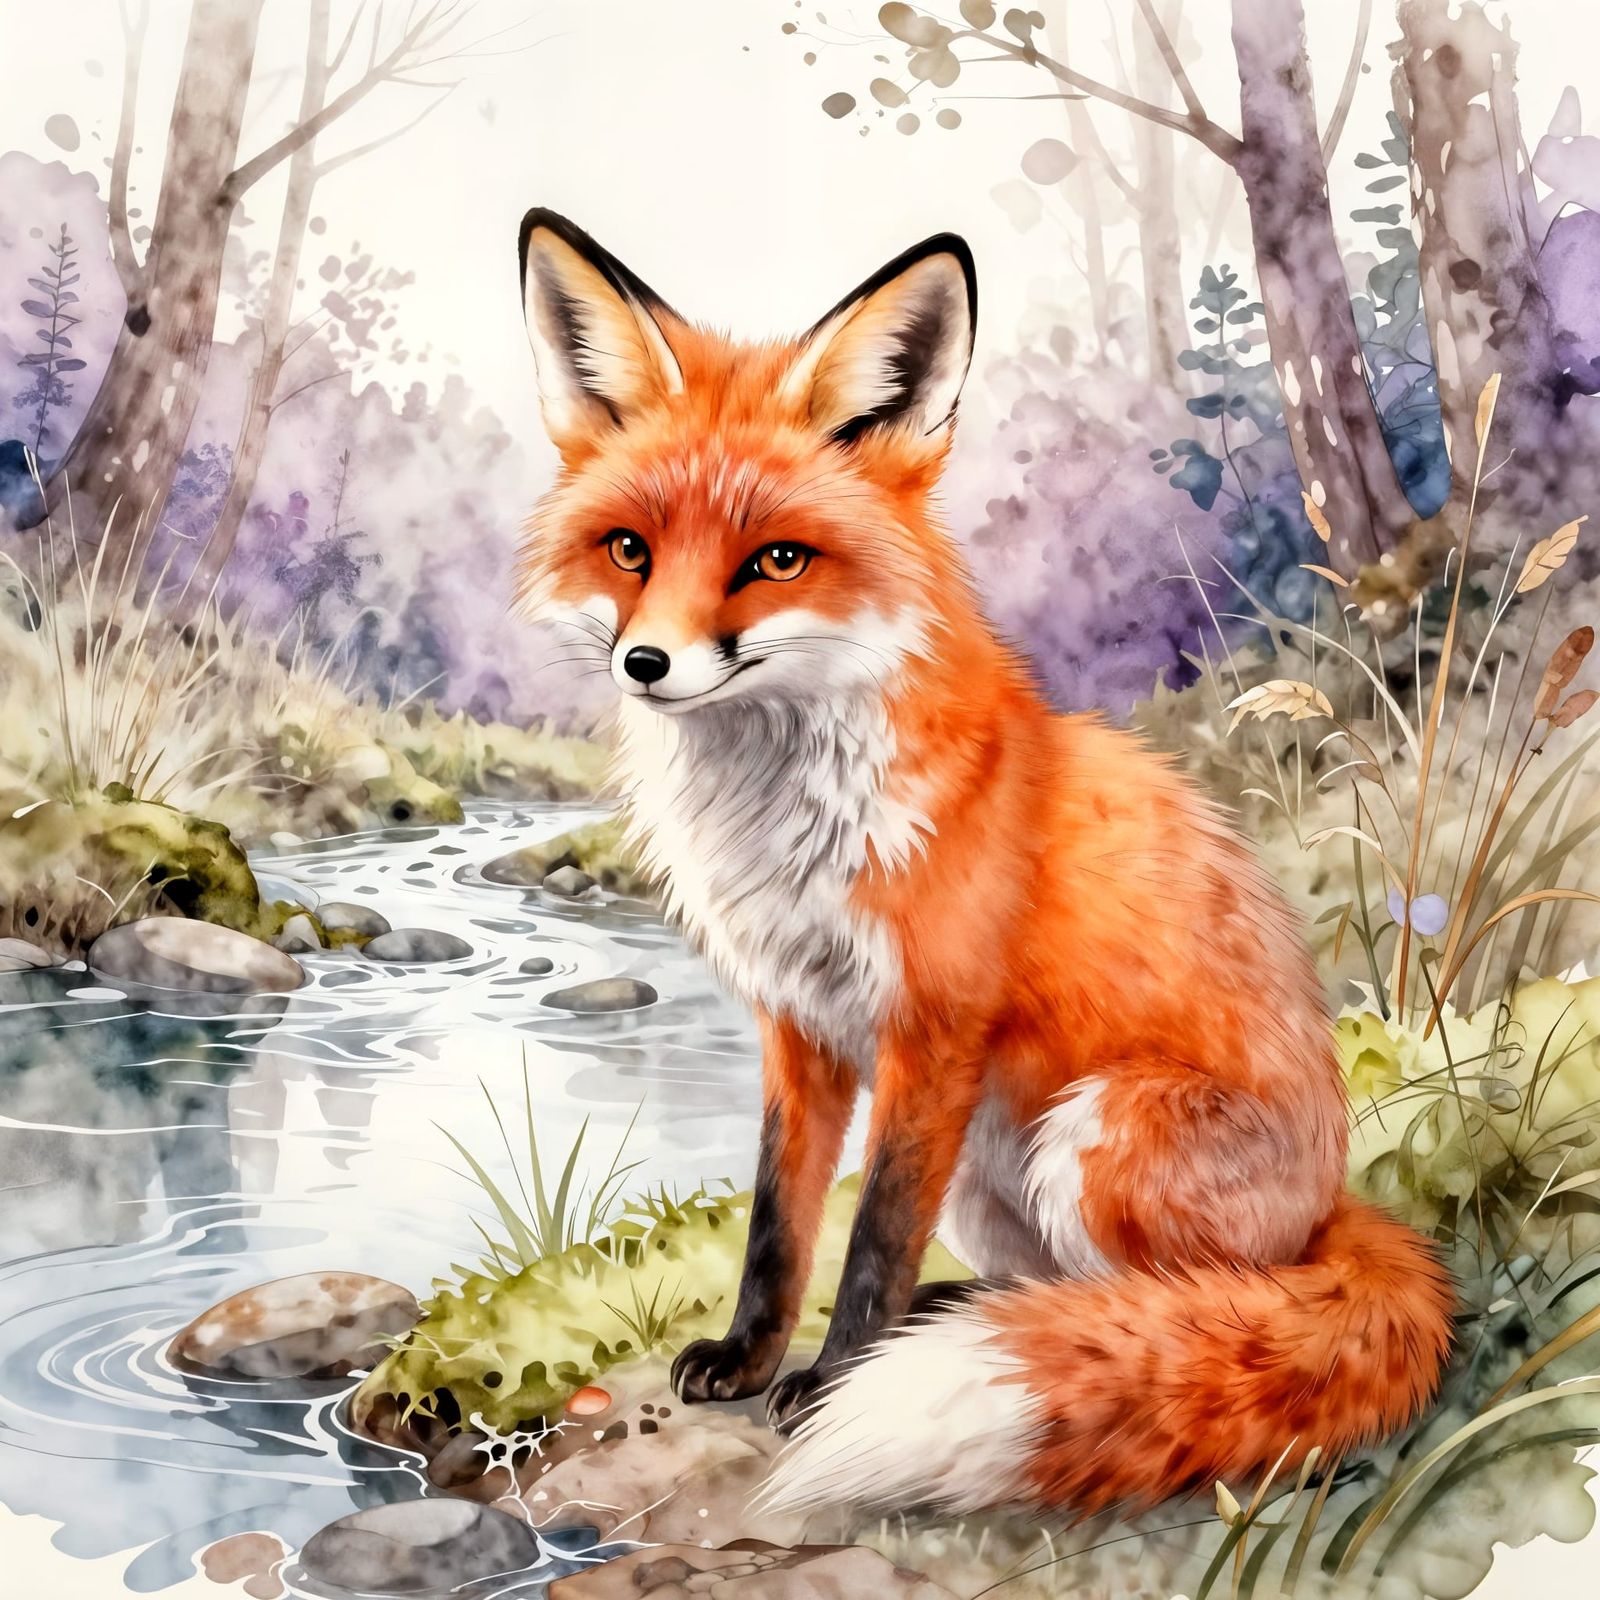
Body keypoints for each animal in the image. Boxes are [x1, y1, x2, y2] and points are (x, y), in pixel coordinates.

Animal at [512, 208, 1454, 1518]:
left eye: (776, 561)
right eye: (627, 549)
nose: (646, 664)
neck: (784, 821)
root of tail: (1332, 1211)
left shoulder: (932, 1025)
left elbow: (869, 1241)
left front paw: (829, 1380)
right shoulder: (795, 1025)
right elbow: (778, 1223)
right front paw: (750, 1356)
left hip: (1097, 1133)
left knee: (1182, 1306)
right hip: (996, 1173)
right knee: (1048, 1288)